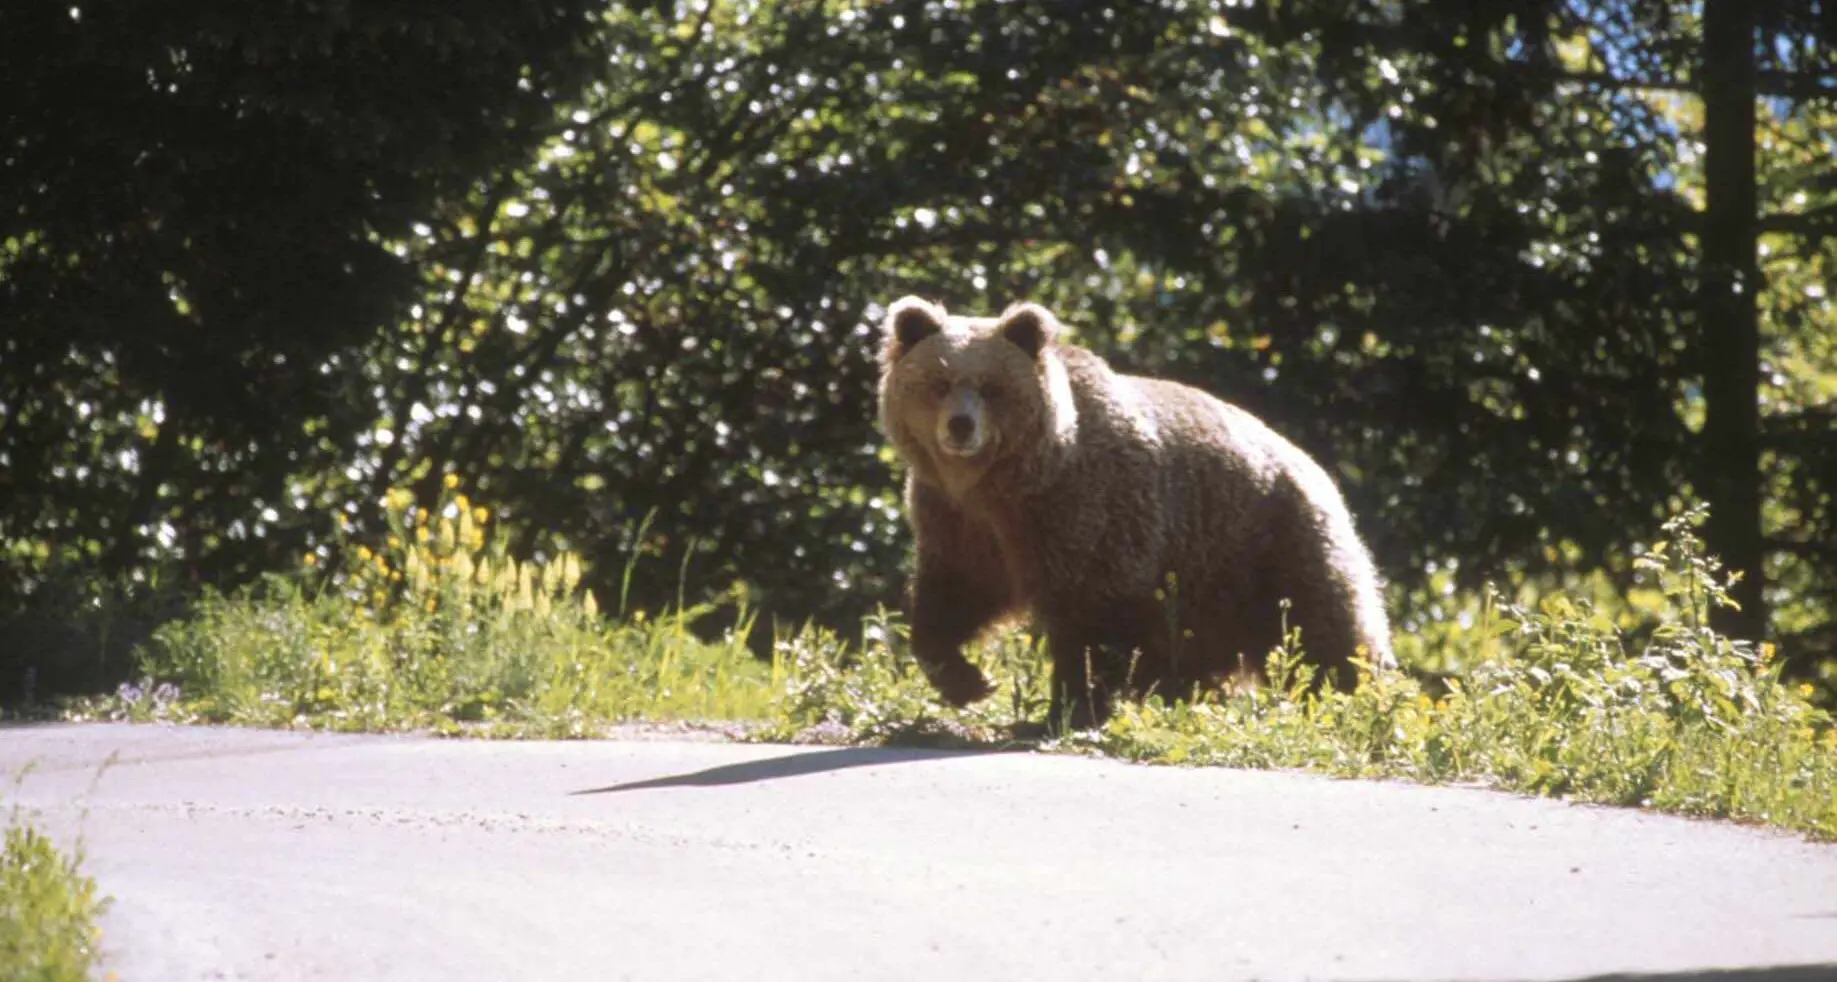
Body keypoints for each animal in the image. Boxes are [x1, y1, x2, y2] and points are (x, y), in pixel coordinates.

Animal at [876, 295, 1396, 729]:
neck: (1004, 485)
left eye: (991, 387)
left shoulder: (1086, 512)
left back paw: (1358, 701)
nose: (961, 426)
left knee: (1326, 631)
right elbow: (952, 595)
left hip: (1270, 543)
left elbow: (1092, 613)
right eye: (940, 382)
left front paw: (1068, 708)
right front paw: (968, 680)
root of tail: (1317, 470)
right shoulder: (958, 521)